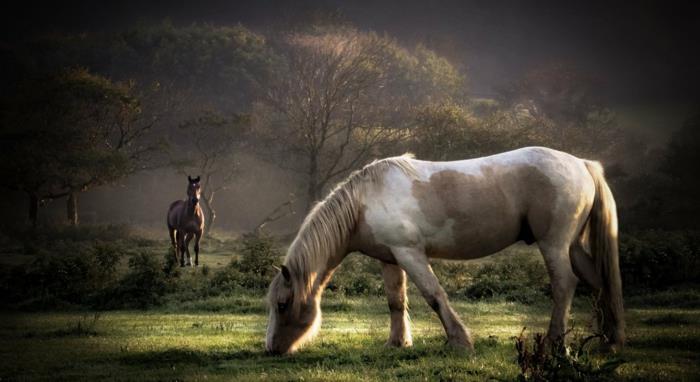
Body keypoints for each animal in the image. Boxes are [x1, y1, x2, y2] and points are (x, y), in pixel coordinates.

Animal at [266, 147, 628, 356]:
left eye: (283, 305)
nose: (271, 349)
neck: (364, 201)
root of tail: (582, 164)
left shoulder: (411, 255)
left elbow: (434, 296)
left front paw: (460, 342)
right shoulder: (390, 259)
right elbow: (396, 302)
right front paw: (397, 343)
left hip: (553, 244)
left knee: (564, 284)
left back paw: (556, 344)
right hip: (573, 246)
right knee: (599, 282)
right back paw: (610, 340)